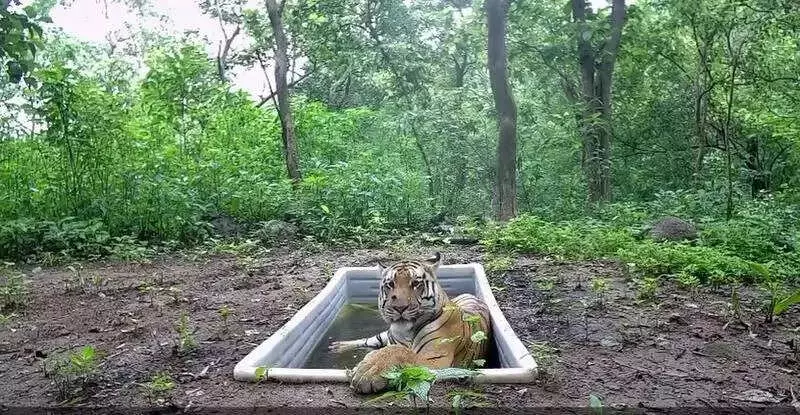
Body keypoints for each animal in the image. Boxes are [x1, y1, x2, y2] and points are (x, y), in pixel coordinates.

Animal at [329, 252, 492, 394]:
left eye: (415, 283)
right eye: (390, 284)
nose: (399, 307)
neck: (406, 333)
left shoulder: (436, 360)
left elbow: (400, 351)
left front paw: (367, 372)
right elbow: (391, 348)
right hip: (383, 335)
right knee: (370, 340)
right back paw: (338, 346)